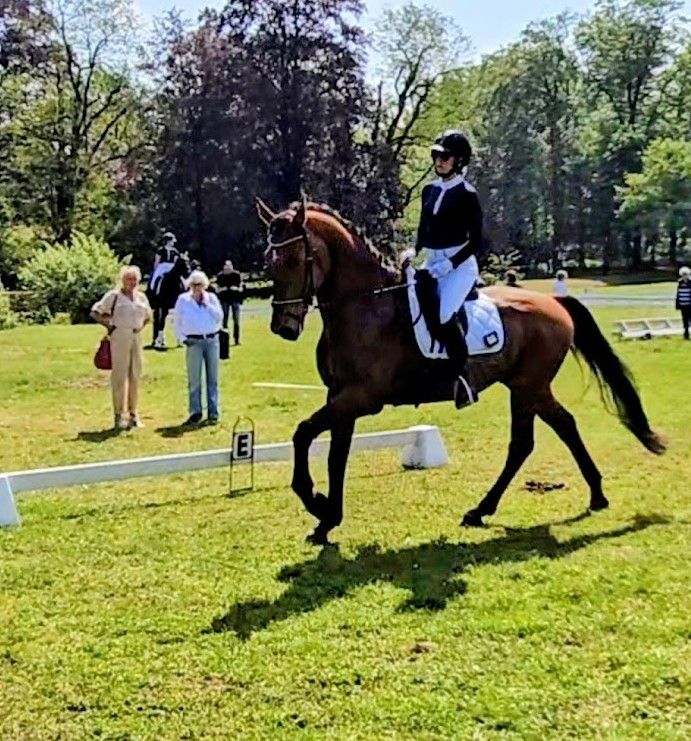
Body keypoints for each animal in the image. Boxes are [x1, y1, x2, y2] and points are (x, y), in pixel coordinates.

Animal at [255, 195, 666, 545]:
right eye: (268, 263)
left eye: (293, 261)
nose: (284, 328)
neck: (364, 307)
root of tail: (553, 301)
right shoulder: (340, 397)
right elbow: (333, 454)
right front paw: (326, 520)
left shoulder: (359, 399)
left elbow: (303, 434)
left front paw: (314, 501)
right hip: (527, 388)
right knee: (552, 431)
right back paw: (570, 498)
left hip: (528, 386)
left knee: (532, 439)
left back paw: (506, 506)